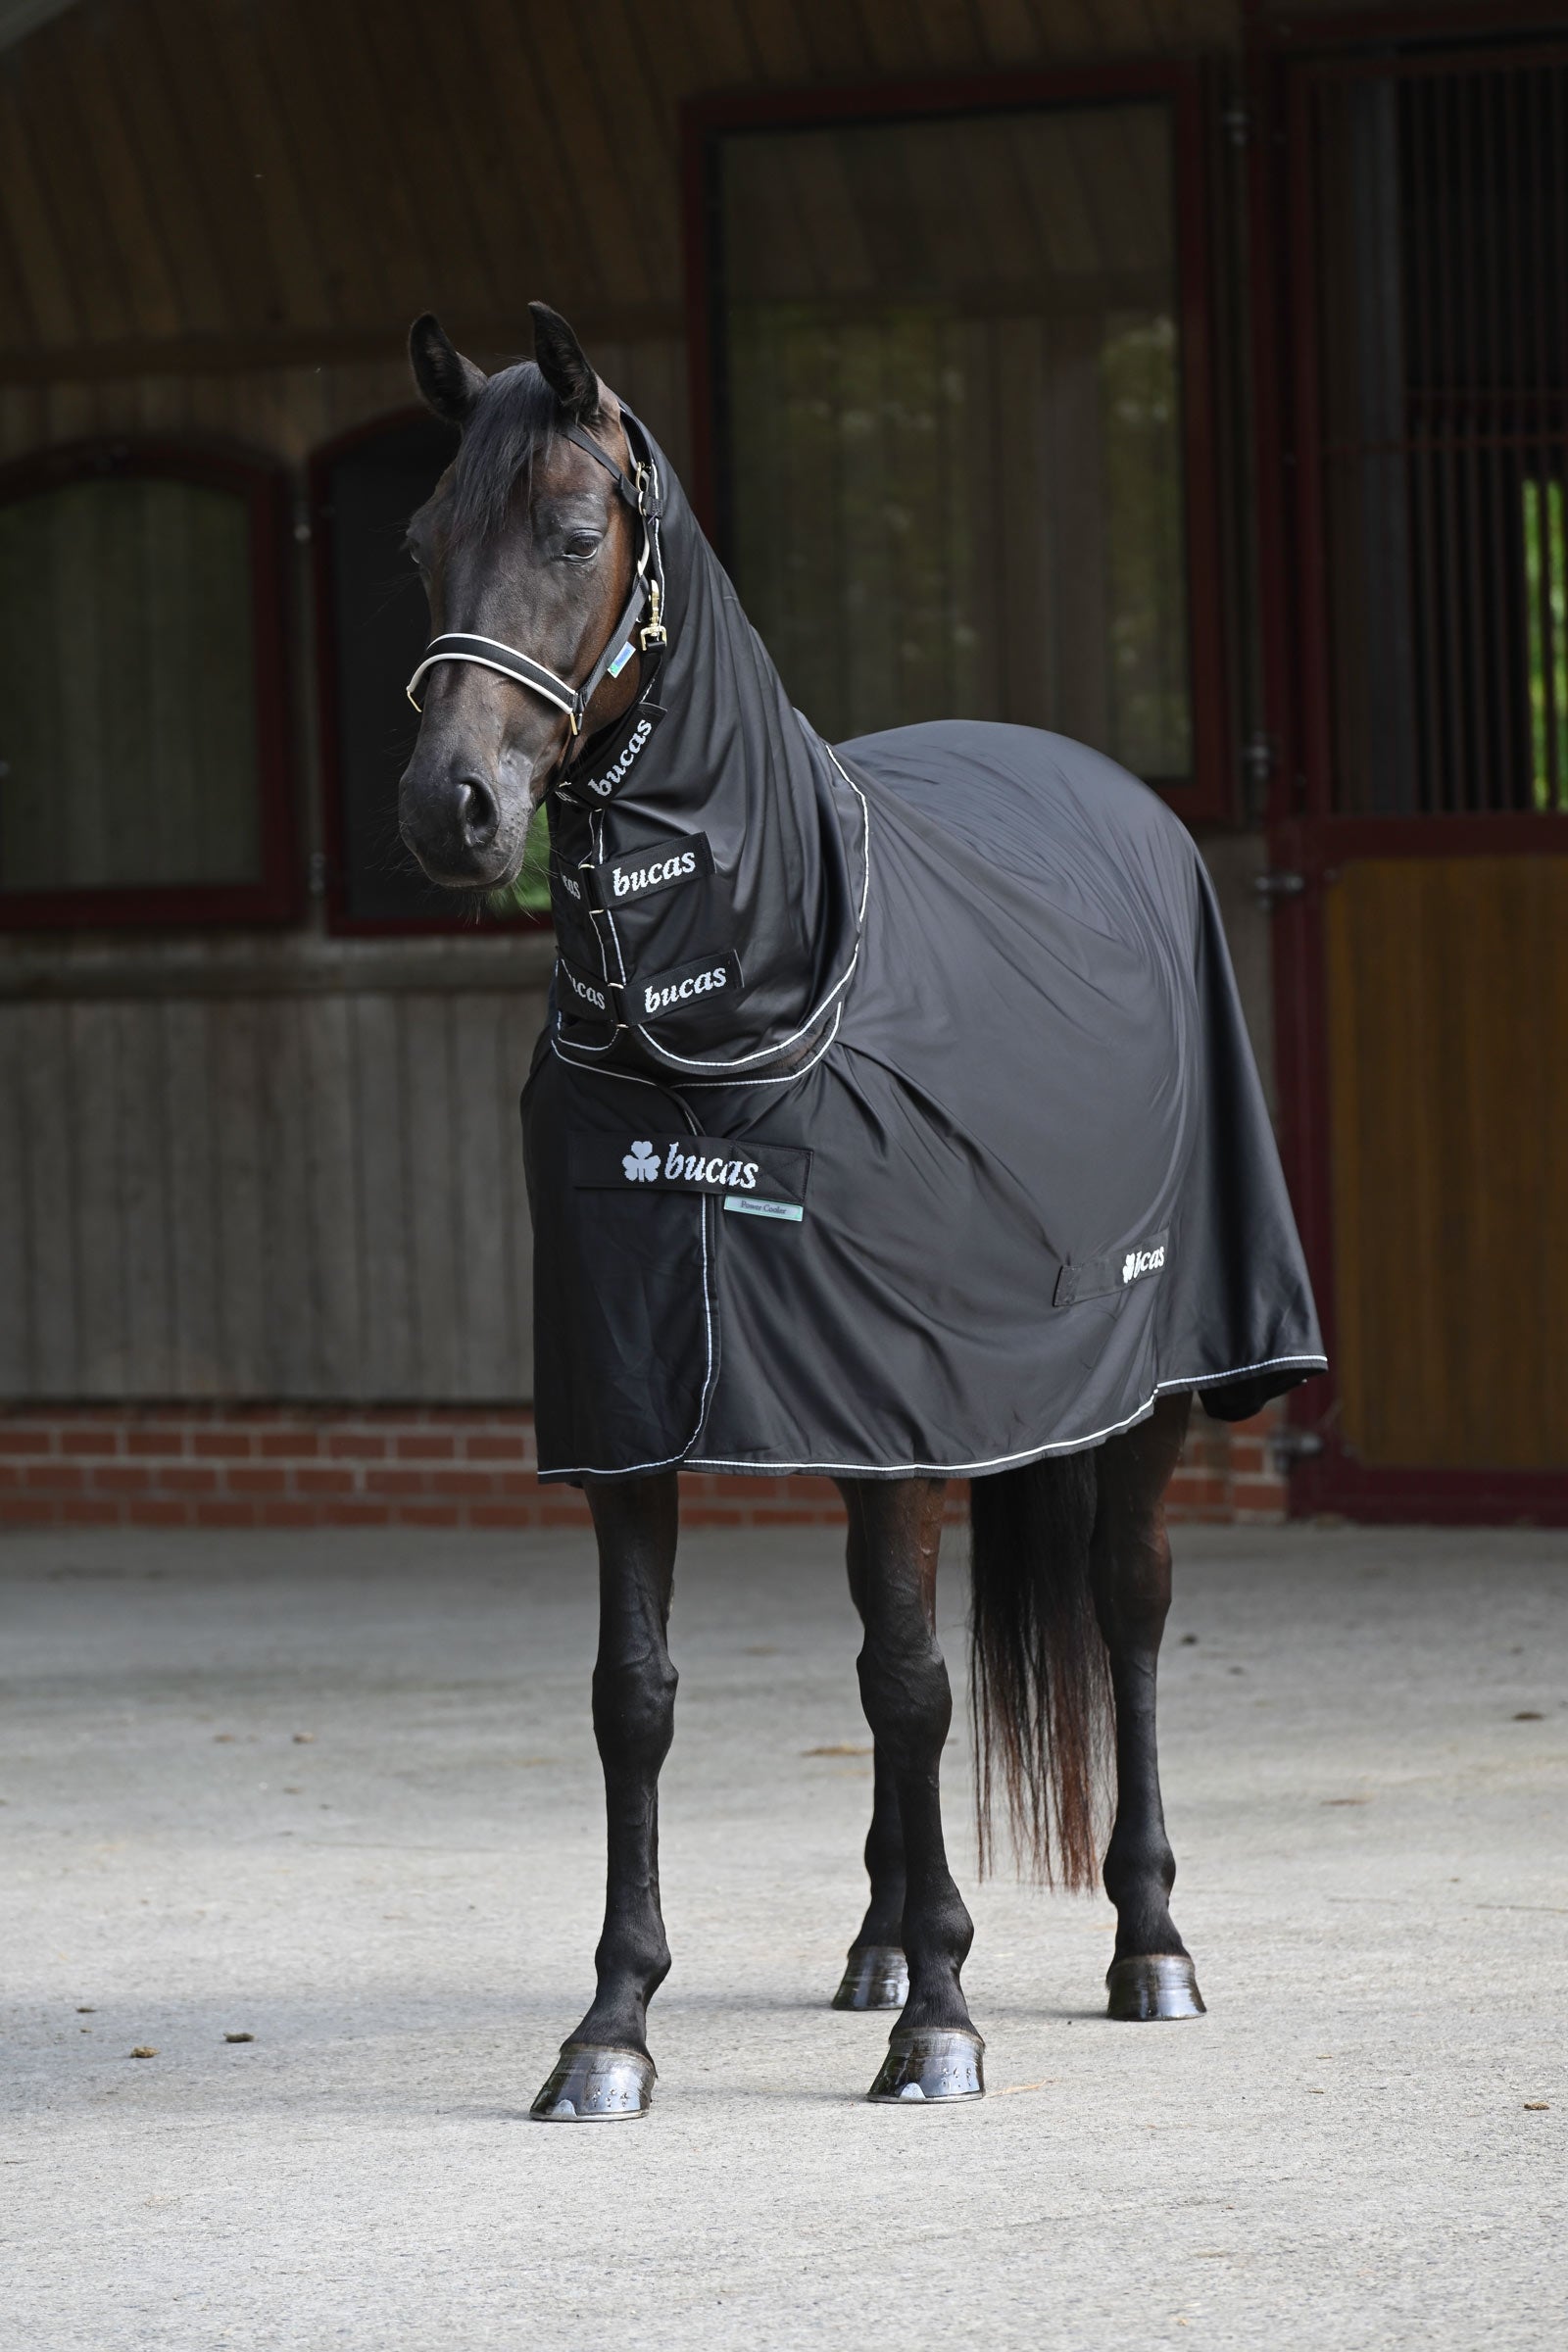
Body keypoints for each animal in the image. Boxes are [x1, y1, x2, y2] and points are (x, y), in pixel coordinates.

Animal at [396, 303, 1324, 2118]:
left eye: (573, 530)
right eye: (416, 545)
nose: (449, 808)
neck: (725, 1015)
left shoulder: (910, 1413)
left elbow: (915, 1683)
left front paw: (945, 2026)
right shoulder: (644, 1414)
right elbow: (638, 1699)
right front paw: (612, 2028)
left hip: (1155, 1392)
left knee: (1124, 1610)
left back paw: (1146, 1948)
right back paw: (883, 1941)